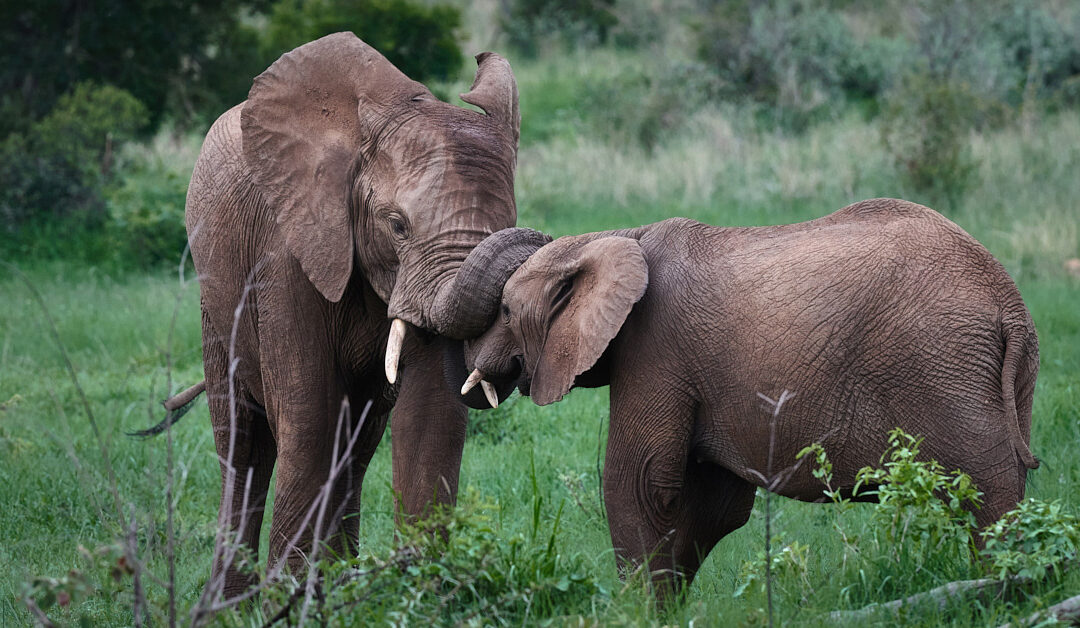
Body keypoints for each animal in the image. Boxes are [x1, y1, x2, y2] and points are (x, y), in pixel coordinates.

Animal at [184, 33, 548, 592]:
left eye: (507, 221)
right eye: (397, 225)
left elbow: (430, 416)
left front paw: (421, 591)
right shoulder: (289, 253)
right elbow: (309, 419)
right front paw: (289, 599)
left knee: (356, 445)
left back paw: (338, 581)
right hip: (215, 303)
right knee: (242, 445)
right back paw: (235, 599)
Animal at [464, 198, 1036, 596]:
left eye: (507, 312)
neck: (617, 238)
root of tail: (1007, 299)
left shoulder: (654, 351)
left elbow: (641, 484)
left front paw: (639, 611)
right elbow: (712, 506)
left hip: (944, 365)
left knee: (986, 490)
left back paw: (1001, 592)